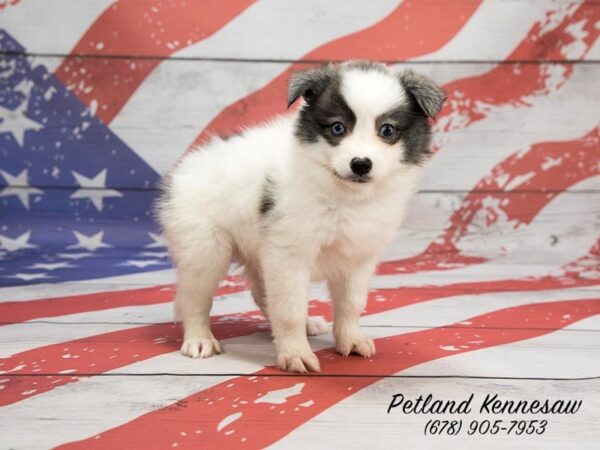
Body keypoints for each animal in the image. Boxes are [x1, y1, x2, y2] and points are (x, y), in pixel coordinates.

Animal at [159, 59, 446, 372]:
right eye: (337, 127)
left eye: (387, 131)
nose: (360, 164)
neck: (344, 195)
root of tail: (184, 168)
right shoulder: (288, 253)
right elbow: (290, 308)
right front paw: (295, 354)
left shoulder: (358, 255)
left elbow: (351, 303)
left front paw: (350, 339)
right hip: (205, 246)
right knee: (194, 296)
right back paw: (199, 339)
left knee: (260, 292)